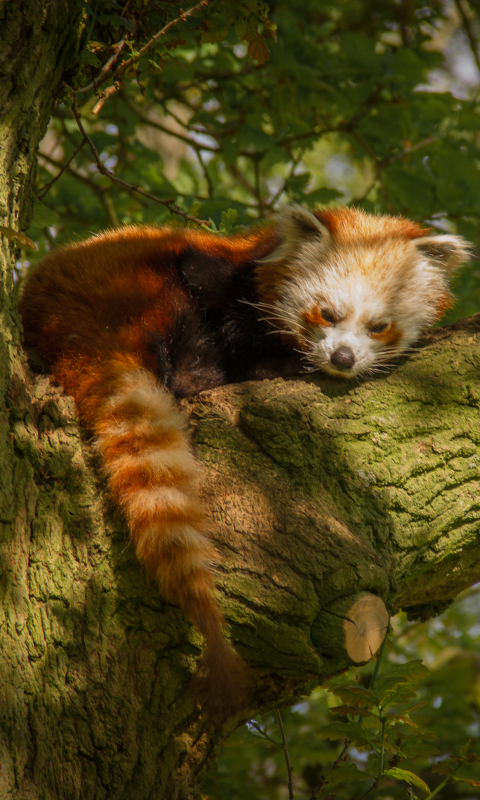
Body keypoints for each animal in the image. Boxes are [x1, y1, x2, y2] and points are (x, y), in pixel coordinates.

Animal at [18, 203, 468, 708]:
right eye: (327, 314)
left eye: (378, 326)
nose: (343, 358)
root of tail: (68, 321)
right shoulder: (217, 282)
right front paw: (280, 364)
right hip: (140, 288)